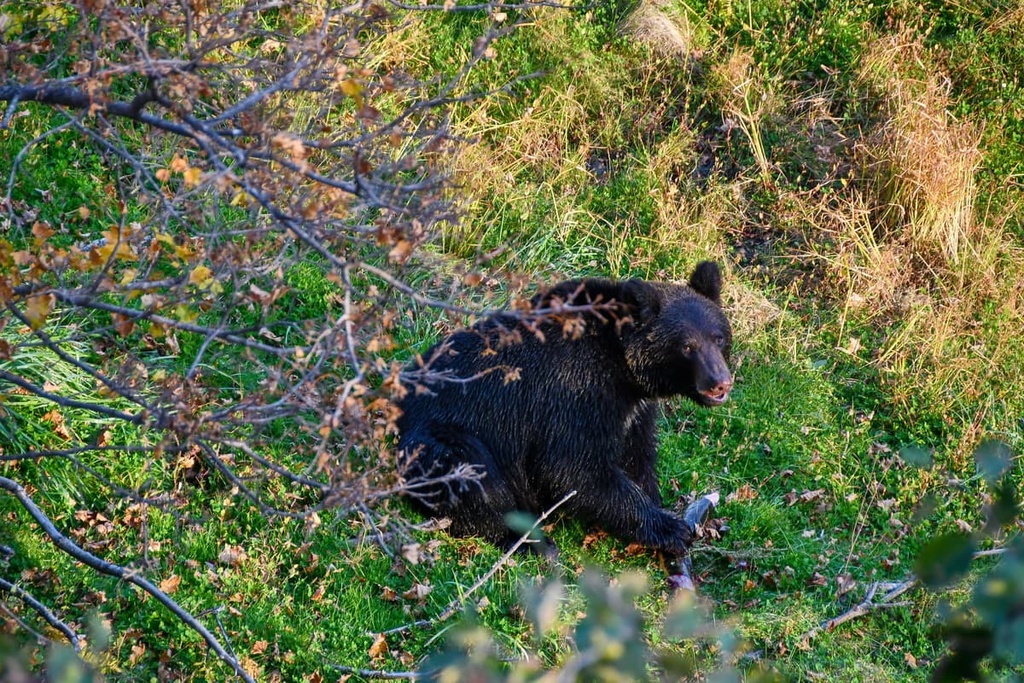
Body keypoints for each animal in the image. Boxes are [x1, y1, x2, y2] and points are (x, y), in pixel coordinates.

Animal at [396, 261, 733, 559]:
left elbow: (636, 455)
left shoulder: (633, 410)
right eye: (687, 346)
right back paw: (529, 541)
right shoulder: (574, 392)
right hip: (440, 436)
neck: (624, 370)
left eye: (718, 338)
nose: (720, 382)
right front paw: (670, 528)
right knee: (473, 475)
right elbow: (571, 468)